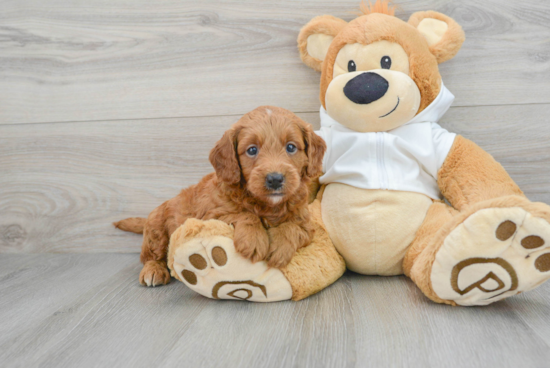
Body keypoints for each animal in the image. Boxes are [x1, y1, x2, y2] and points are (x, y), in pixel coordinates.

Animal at [113, 105, 326, 286]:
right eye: (252, 150)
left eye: (291, 147)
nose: (275, 179)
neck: (266, 205)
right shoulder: (211, 215)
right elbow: (244, 214)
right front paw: (254, 240)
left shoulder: (305, 221)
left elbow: (293, 227)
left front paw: (280, 248)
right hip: (156, 227)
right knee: (151, 256)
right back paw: (153, 271)